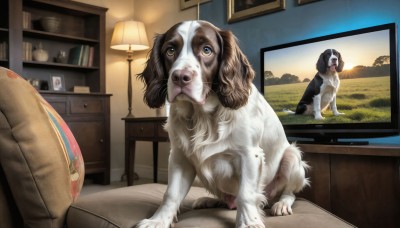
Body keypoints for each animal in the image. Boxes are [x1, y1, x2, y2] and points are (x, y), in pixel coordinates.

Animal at [136, 20, 308, 227]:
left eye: (207, 50)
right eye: (170, 50)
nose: (180, 77)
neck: (202, 116)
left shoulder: (250, 154)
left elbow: (246, 194)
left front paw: (248, 222)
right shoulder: (179, 156)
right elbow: (170, 194)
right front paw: (158, 220)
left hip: (292, 157)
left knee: (289, 192)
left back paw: (281, 204)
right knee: (227, 201)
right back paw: (208, 200)